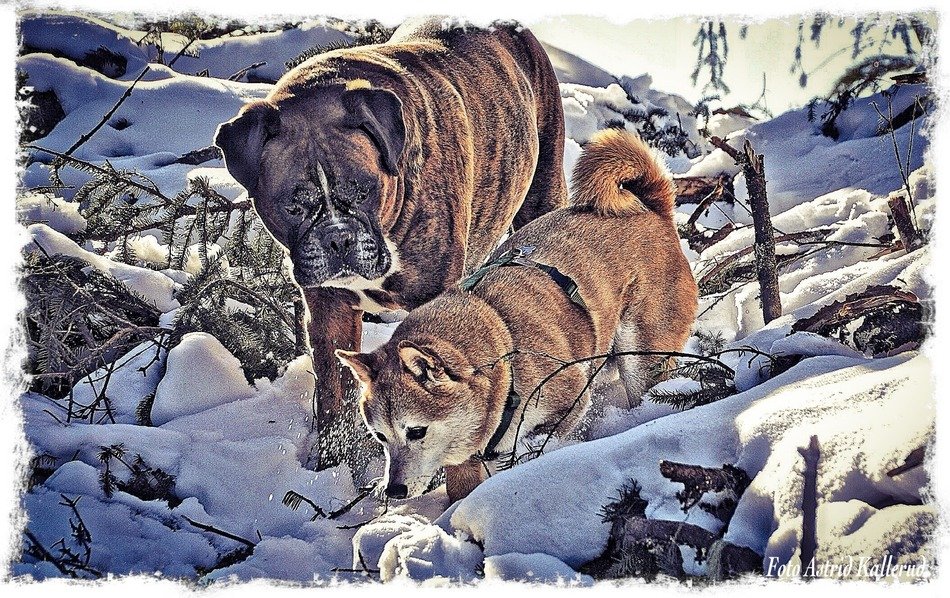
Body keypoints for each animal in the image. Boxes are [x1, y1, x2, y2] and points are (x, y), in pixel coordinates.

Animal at [217, 17, 568, 468]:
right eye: (293, 205)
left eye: (365, 189)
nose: (338, 237)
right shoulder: (329, 310)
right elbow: (334, 395)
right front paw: (334, 463)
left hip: (543, 188)